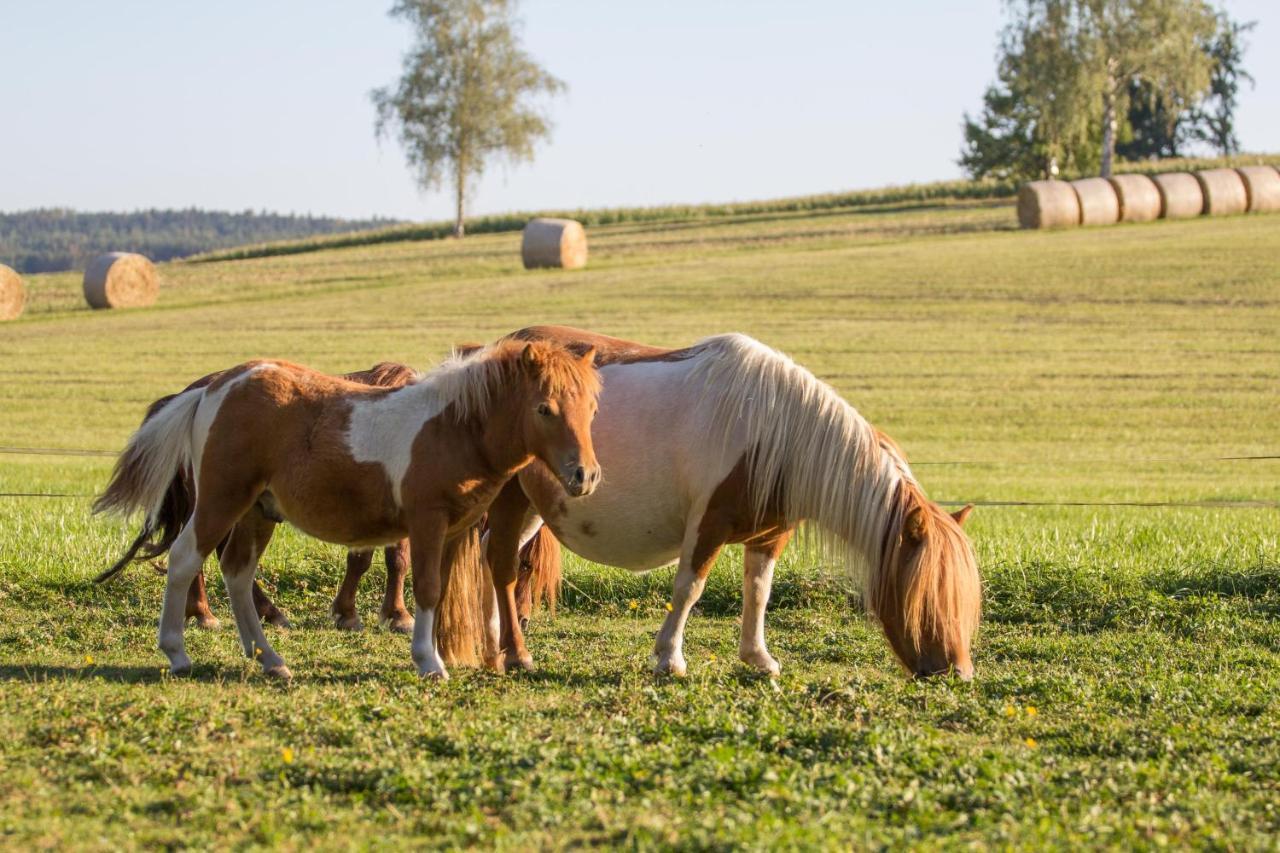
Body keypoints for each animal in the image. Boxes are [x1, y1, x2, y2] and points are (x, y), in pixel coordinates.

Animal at [94, 338, 604, 676]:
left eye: (592, 409)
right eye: (544, 408)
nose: (586, 476)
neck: (452, 427)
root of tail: (212, 388)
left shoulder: (455, 529)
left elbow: (440, 592)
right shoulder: (426, 522)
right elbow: (426, 589)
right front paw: (428, 663)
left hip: (258, 512)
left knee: (237, 572)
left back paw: (270, 659)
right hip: (222, 499)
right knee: (186, 559)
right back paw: (178, 652)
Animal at [483, 325, 983, 676]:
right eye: (926, 590)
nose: (956, 673)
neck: (773, 431)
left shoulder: (769, 535)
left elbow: (758, 592)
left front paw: (758, 658)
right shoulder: (708, 524)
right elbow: (689, 589)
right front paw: (669, 659)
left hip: (533, 509)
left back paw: (493, 646)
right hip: (510, 502)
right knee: (500, 562)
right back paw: (511, 653)